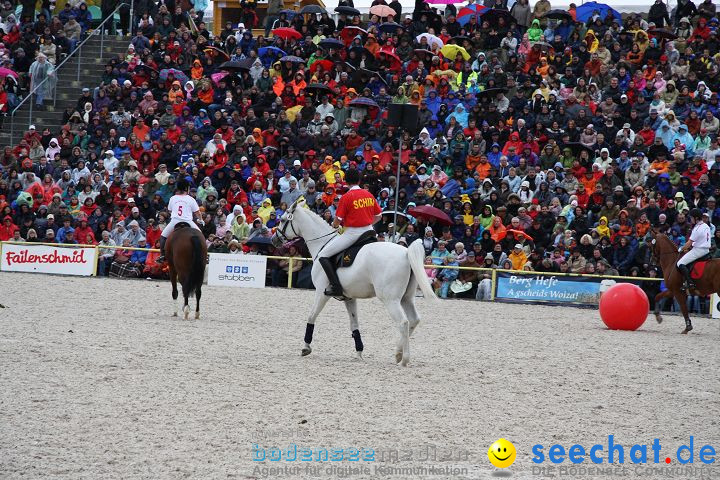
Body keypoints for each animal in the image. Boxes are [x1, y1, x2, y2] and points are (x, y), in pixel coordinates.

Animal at [272, 197, 436, 366]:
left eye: (283, 220)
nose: (274, 240)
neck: (323, 243)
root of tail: (406, 252)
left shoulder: (322, 293)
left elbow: (311, 316)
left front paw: (306, 347)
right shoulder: (349, 298)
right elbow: (354, 324)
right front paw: (359, 352)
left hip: (390, 299)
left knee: (403, 323)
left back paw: (404, 359)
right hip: (406, 298)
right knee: (413, 320)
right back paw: (398, 353)